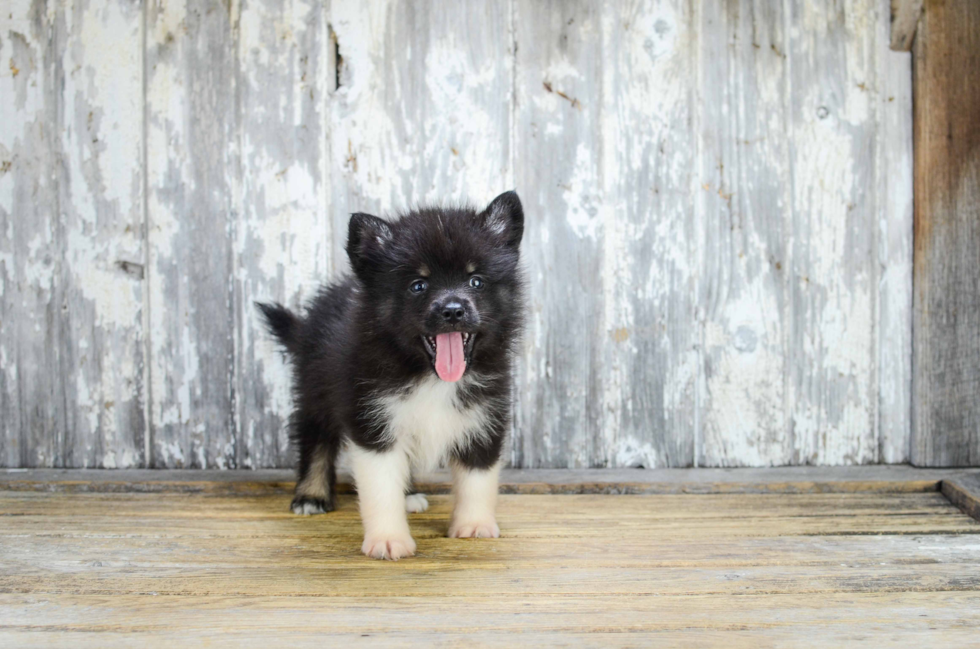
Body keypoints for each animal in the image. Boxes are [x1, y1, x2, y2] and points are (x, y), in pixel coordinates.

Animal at [256, 190, 524, 560]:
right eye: (418, 285)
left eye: (476, 281)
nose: (453, 311)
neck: (428, 374)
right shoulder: (370, 418)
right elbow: (380, 487)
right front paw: (388, 539)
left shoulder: (484, 414)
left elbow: (477, 477)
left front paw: (473, 525)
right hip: (314, 387)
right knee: (315, 440)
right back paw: (311, 495)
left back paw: (408, 495)